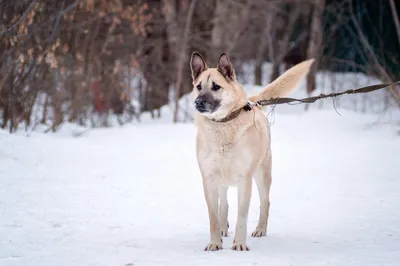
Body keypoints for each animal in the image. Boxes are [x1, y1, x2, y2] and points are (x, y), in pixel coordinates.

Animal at [191, 51, 316, 251]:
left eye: (216, 87)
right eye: (198, 87)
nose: (198, 102)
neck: (223, 126)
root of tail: (253, 102)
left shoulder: (245, 180)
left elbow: (242, 217)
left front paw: (240, 244)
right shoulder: (209, 180)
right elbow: (213, 216)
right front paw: (215, 242)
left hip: (262, 175)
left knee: (265, 202)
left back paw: (260, 230)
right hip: (222, 181)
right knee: (223, 204)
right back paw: (224, 229)